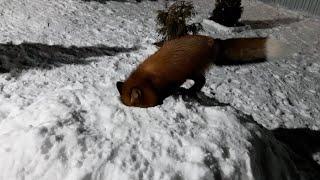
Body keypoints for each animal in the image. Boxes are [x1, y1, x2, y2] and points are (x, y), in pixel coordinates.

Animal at [117, 34, 288, 107]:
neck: (148, 79)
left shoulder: (171, 81)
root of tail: (213, 40)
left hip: (191, 71)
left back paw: (190, 91)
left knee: (202, 81)